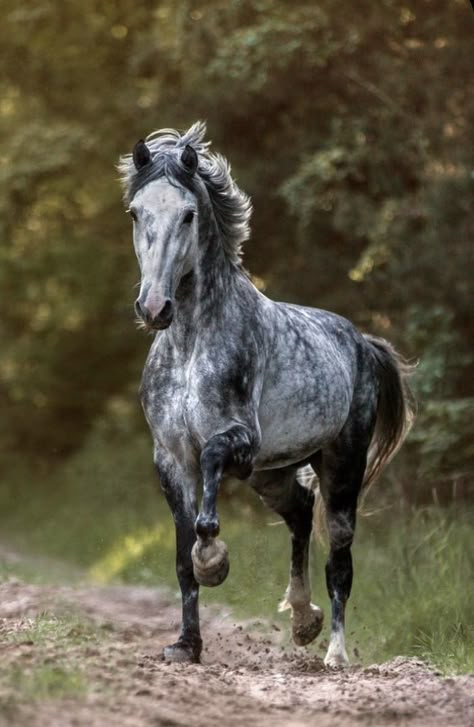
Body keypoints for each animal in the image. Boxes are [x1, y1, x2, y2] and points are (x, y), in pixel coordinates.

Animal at [119, 122, 414, 668]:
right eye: (135, 212)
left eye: (188, 214)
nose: (154, 308)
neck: (191, 343)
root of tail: (361, 341)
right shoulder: (170, 457)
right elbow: (180, 557)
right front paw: (186, 646)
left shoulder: (238, 442)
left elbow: (208, 493)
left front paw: (214, 562)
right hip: (270, 473)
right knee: (298, 511)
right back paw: (302, 619)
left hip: (339, 466)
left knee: (340, 559)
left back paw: (334, 653)